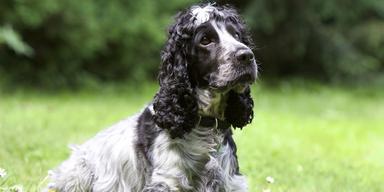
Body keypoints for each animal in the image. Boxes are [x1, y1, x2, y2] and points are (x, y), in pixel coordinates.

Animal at [45, 3, 258, 192]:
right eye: (205, 40)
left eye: (237, 35)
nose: (246, 55)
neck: (204, 126)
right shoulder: (165, 181)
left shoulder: (231, 183)